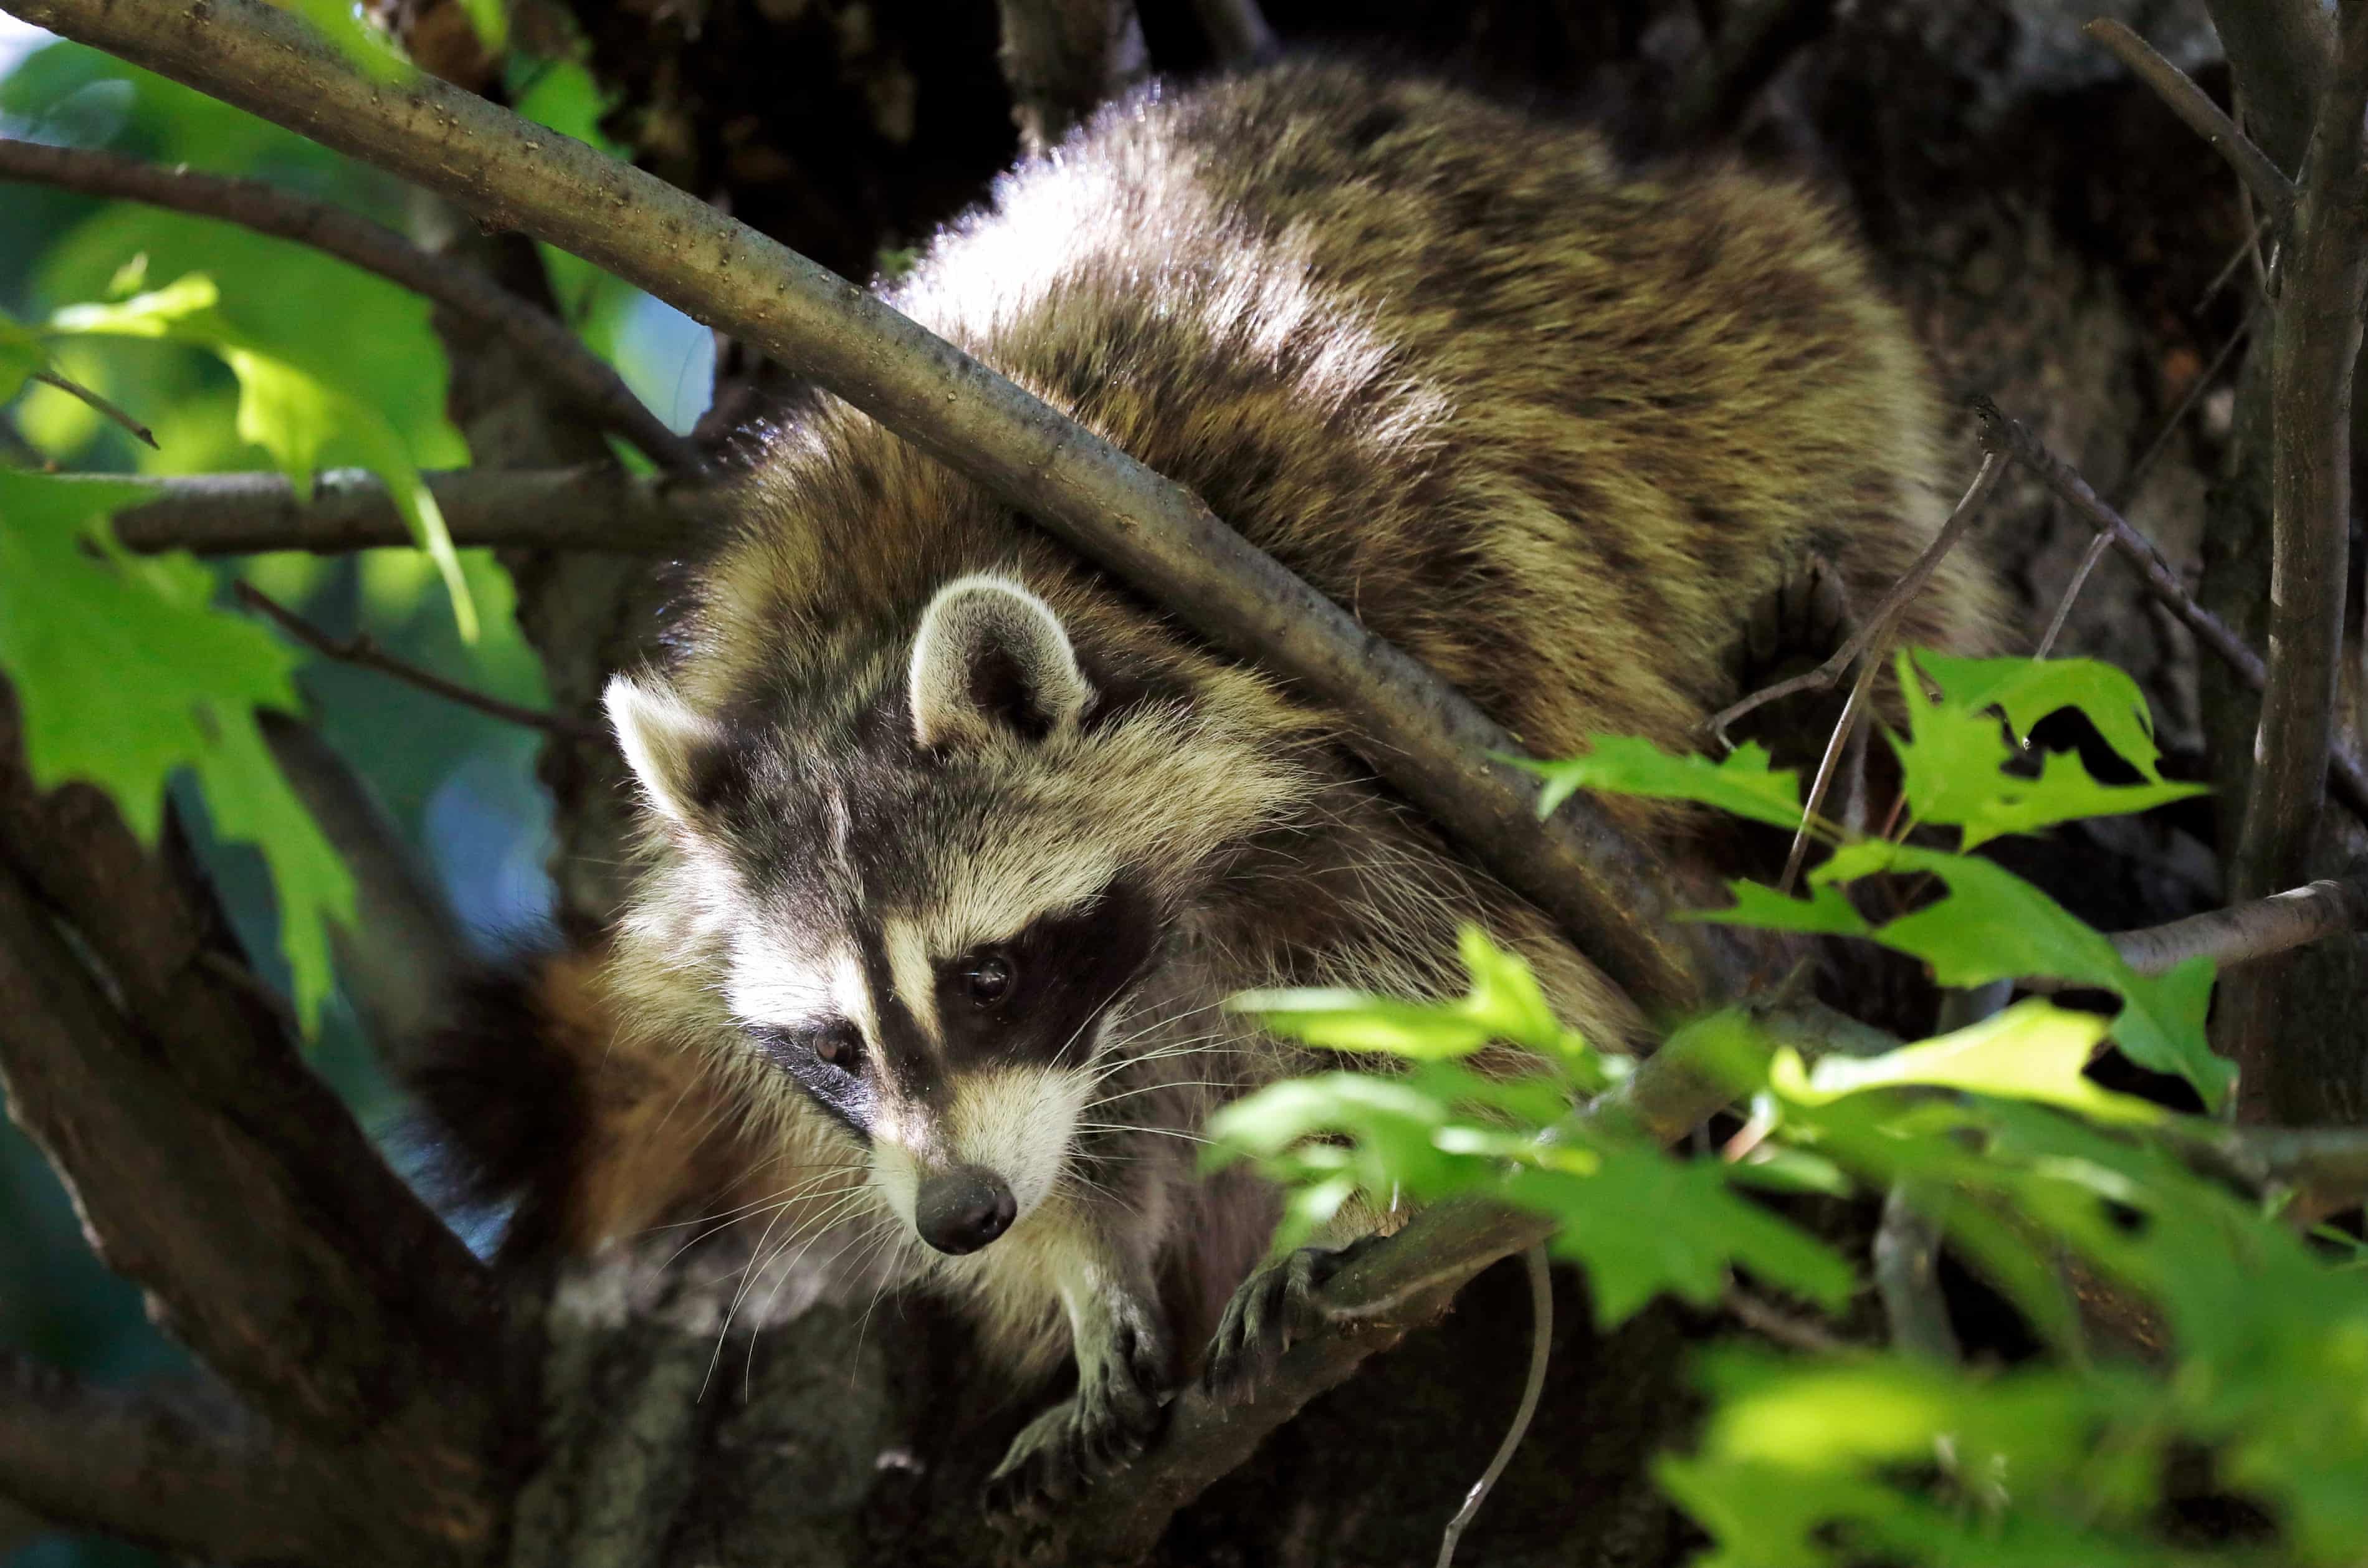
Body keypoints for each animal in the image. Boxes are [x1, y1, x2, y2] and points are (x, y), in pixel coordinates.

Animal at [425, 60, 1999, 1506]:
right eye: (831, 1044)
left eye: (987, 976)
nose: (962, 1216)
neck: (865, 635)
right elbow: (1088, 1144)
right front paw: (1082, 1272)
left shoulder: (1413, 714)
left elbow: (1461, 1001)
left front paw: (1354, 1201)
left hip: (1760, 352)